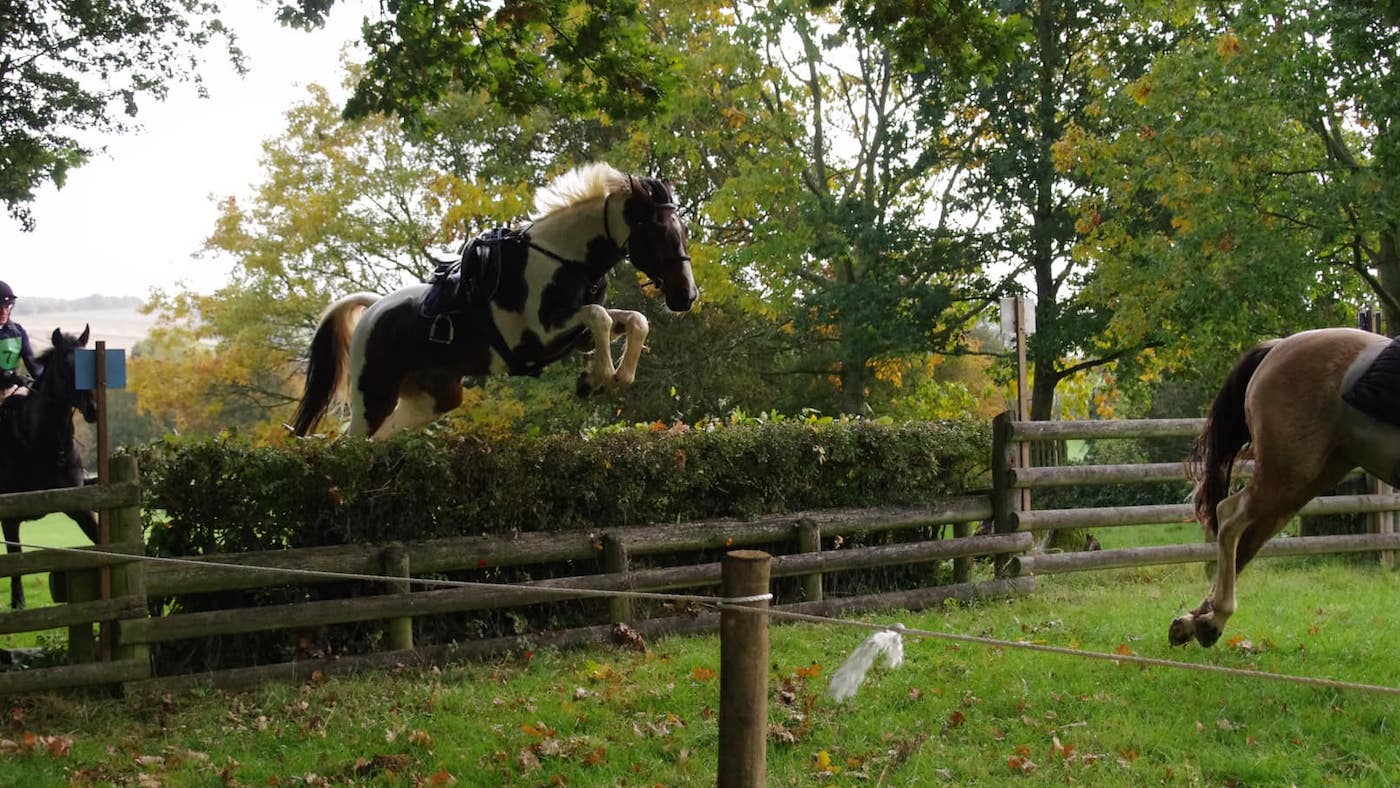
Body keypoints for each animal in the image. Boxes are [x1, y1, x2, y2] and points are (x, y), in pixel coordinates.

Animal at [0, 326, 100, 609]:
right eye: (67, 367)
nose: (93, 409)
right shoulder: (9, 516)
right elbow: (15, 559)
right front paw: (18, 603)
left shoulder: (78, 505)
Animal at [289, 162, 698, 439]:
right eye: (658, 231)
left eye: (682, 230)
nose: (686, 296)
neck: (564, 259)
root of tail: (374, 308)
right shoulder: (539, 337)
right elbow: (600, 315)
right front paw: (598, 378)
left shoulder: (574, 333)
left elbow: (631, 320)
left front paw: (603, 377)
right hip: (373, 393)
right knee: (352, 442)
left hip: (432, 399)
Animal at [1170, 327, 1400, 647]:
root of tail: (1277, 347)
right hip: (1286, 474)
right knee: (1229, 515)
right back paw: (1215, 617)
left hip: (1303, 481)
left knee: (1249, 537)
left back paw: (1196, 622)